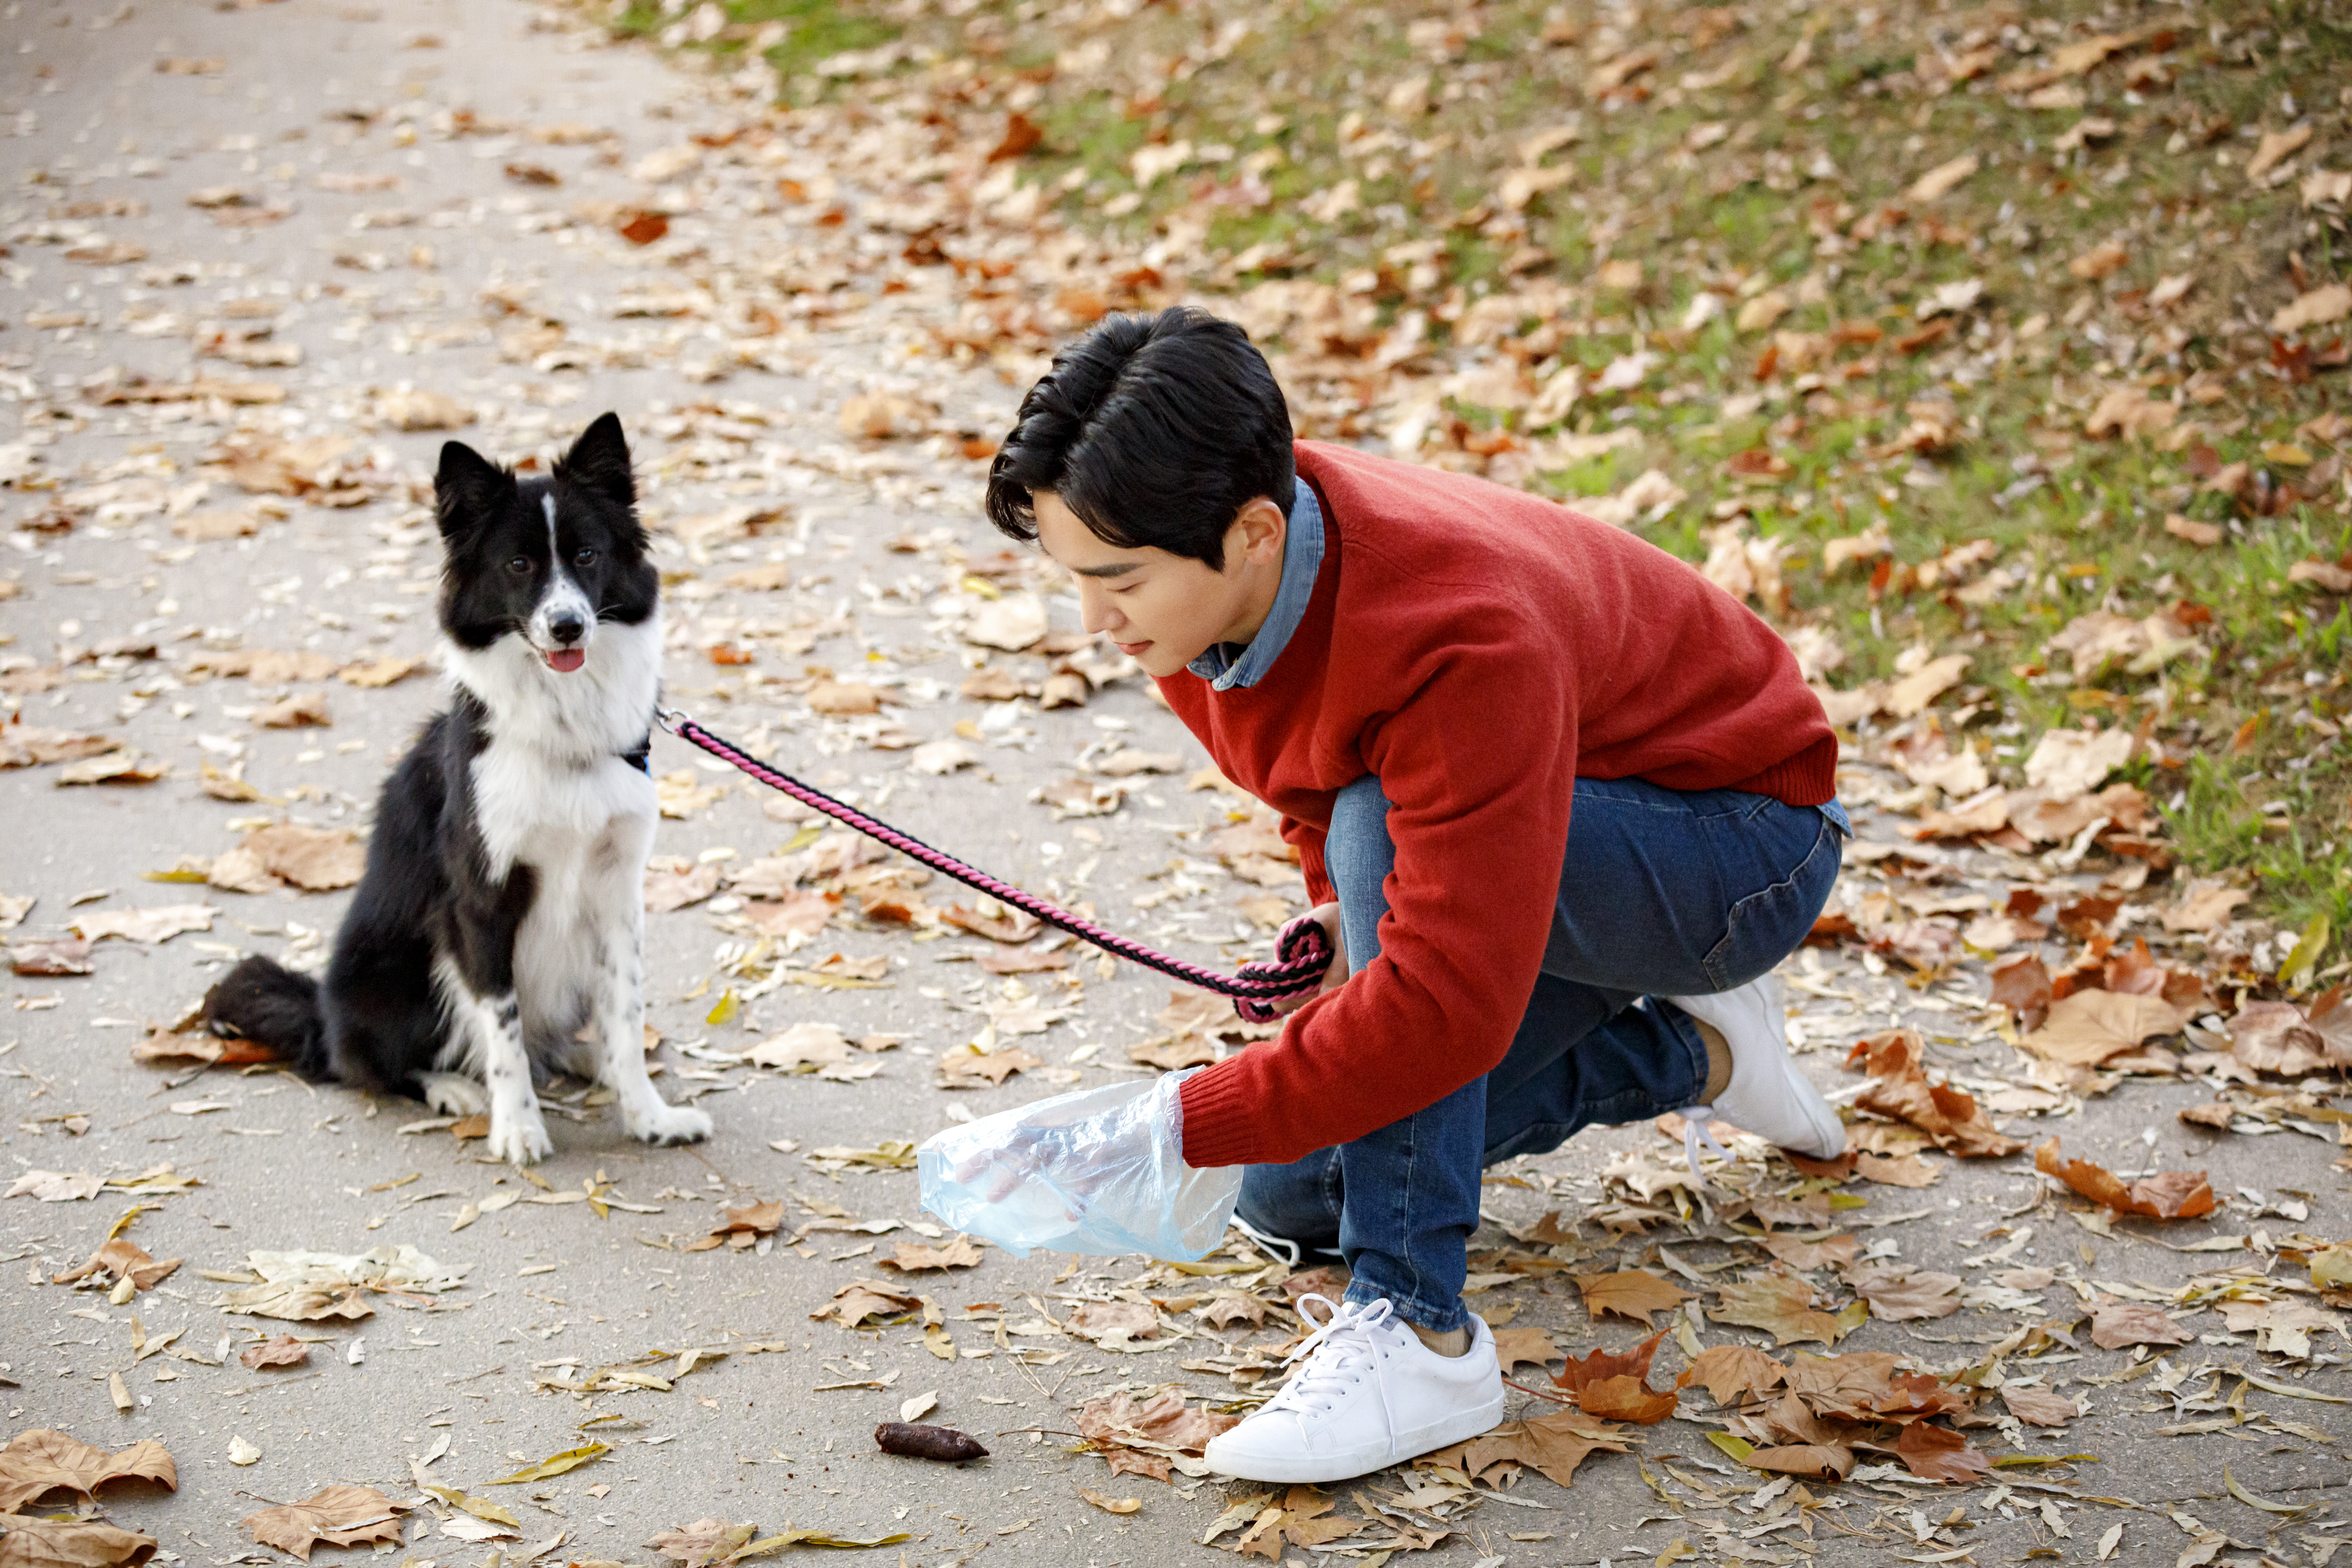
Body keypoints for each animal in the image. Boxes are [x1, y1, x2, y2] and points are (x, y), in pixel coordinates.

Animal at [203, 414, 710, 1166]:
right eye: (519, 565)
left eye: (587, 555)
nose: (568, 625)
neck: (563, 732)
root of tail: (322, 1012)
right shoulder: (481, 902)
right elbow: (502, 1028)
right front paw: (518, 1127)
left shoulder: (619, 892)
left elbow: (624, 1010)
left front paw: (647, 1113)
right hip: (397, 973)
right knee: (372, 1064)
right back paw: (452, 1087)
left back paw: (586, 1061)